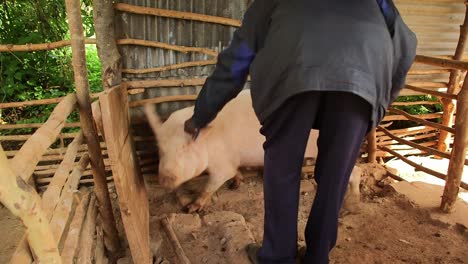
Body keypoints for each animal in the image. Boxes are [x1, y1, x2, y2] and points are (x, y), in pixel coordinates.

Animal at [144, 89, 360, 212]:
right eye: (160, 149)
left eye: (183, 148)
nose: (163, 180)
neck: (209, 140)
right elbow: (234, 173)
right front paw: (236, 184)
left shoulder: (222, 163)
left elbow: (211, 184)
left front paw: (191, 208)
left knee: (355, 170)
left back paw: (352, 204)